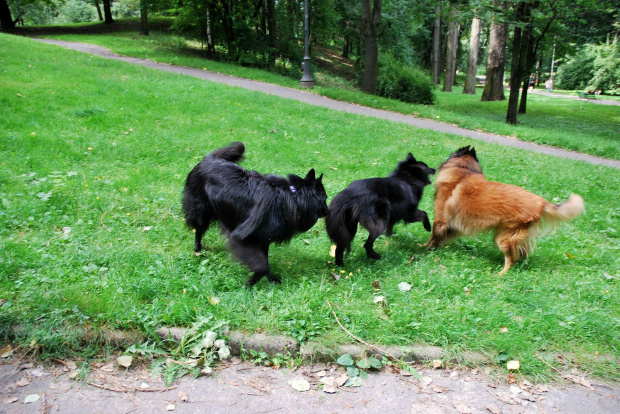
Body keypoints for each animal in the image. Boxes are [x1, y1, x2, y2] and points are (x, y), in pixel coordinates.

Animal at [182, 142, 330, 284]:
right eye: (325, 198)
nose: (329, 212)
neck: (295, 198)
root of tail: (209, 158)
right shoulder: (242, 237)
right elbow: (262, 266)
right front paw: (249, 284)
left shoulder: (264, 239)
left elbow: (266, 262)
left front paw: (269, 280)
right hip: (201, 212)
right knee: (198, 231)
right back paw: (198, 250)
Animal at [426, 146, 588, 274]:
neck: (463, 171)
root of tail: (541, 202)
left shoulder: (440, 219)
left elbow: (433, 235)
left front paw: (426, 247)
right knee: (522, 253)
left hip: (504, 238)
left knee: (511, 259)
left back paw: (500, 274)